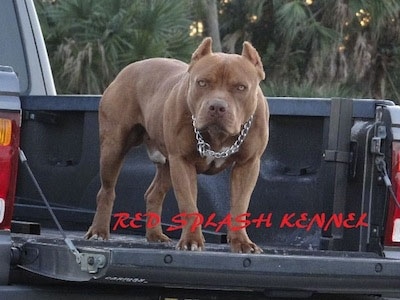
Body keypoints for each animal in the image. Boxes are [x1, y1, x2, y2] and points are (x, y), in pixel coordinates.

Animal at [85, 37, 270, 253]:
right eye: (202, 82)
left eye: (241, 87)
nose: (217, 106)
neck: (217, 136)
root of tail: (128, 69)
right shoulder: (182, 162)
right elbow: (188, 204)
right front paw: (191, 240)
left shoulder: (247, 164)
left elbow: (240, 205)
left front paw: (241, 242)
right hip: (113, 149)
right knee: (106, 191)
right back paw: (99, 231)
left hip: (167, 165)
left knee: (153, 194)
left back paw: (155, 235)